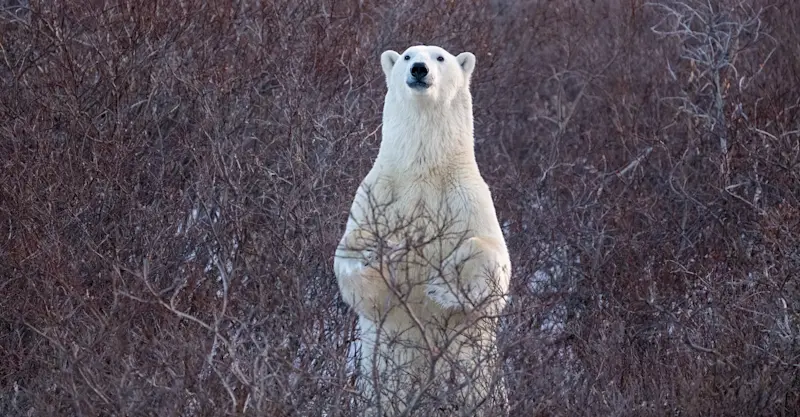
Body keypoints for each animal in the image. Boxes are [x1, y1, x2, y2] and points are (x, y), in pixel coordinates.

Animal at [333, 45, 511, 416]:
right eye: (406, 55)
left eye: (440, 57)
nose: (418, 69)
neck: (423, 169)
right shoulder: (377, 194)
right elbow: (350, 256)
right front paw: (385, 255)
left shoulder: (466, 196)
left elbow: (494, 258)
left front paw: (442, 287)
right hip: (380, 377)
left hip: (479, 376)